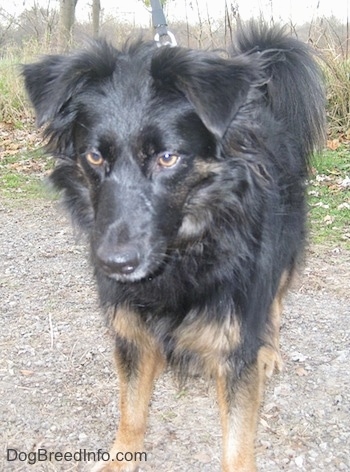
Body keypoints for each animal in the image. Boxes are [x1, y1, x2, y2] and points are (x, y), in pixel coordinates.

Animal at [23, 22, 326, 472]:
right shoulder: (131, 332)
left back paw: (269, 348)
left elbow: (237, 442)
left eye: (167, 158)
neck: (187, 250)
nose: (115, 264)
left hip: (284, 248)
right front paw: (120, 460)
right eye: (94, 157)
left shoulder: (234, 344)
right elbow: (132, 411)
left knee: (274, 298)